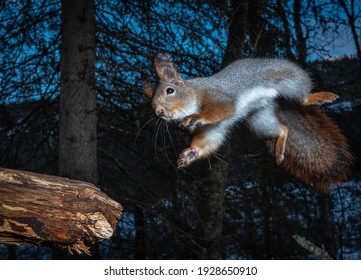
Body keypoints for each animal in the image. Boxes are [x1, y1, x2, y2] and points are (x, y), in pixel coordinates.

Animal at [142, 53, 350, 192]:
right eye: (151, 103)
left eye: (170, 91)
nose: (159, 112)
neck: (195, 94)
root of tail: (274, 102)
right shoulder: (213, 129)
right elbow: (207, 141)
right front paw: (189, 154)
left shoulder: (219, 99)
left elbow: (219, 111)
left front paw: (195, 117)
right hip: (260, 120)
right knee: (283, 128)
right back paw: (280, 145)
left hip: (288, 78)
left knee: (302, 95)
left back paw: (316, 97)